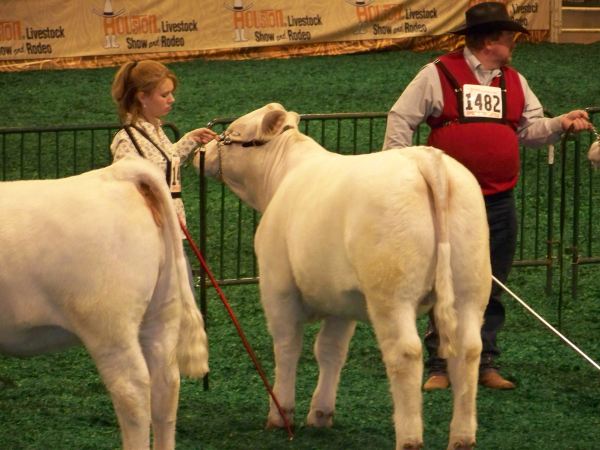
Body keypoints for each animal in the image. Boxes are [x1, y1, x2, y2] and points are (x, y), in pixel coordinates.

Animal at [197, 103, 492, 448]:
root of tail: (426, 159)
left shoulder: (277, 285)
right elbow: (330, 350)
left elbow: (287, 346)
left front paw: (281, 413)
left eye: (234, 133)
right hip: (470, 285)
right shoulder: (342, 300)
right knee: (468, 349)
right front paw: (321, 413)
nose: (204, 149)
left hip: (392, 292)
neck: (284, 176)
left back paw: (409, 438)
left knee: (405, 353)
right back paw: (462, 437)